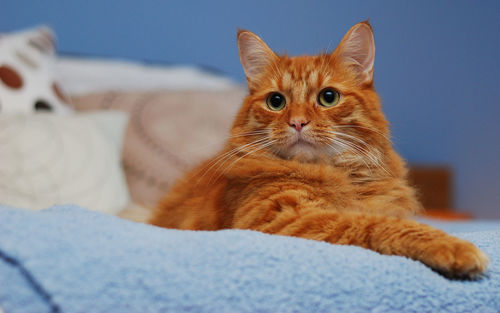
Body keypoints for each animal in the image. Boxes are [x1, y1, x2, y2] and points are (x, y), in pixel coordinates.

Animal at [151, 20, 488, 276]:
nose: (298, 122)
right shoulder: (281, 219)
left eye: (328, 97)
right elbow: (374, 224)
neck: (344, 175)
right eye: (276, 101)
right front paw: (454, 246)